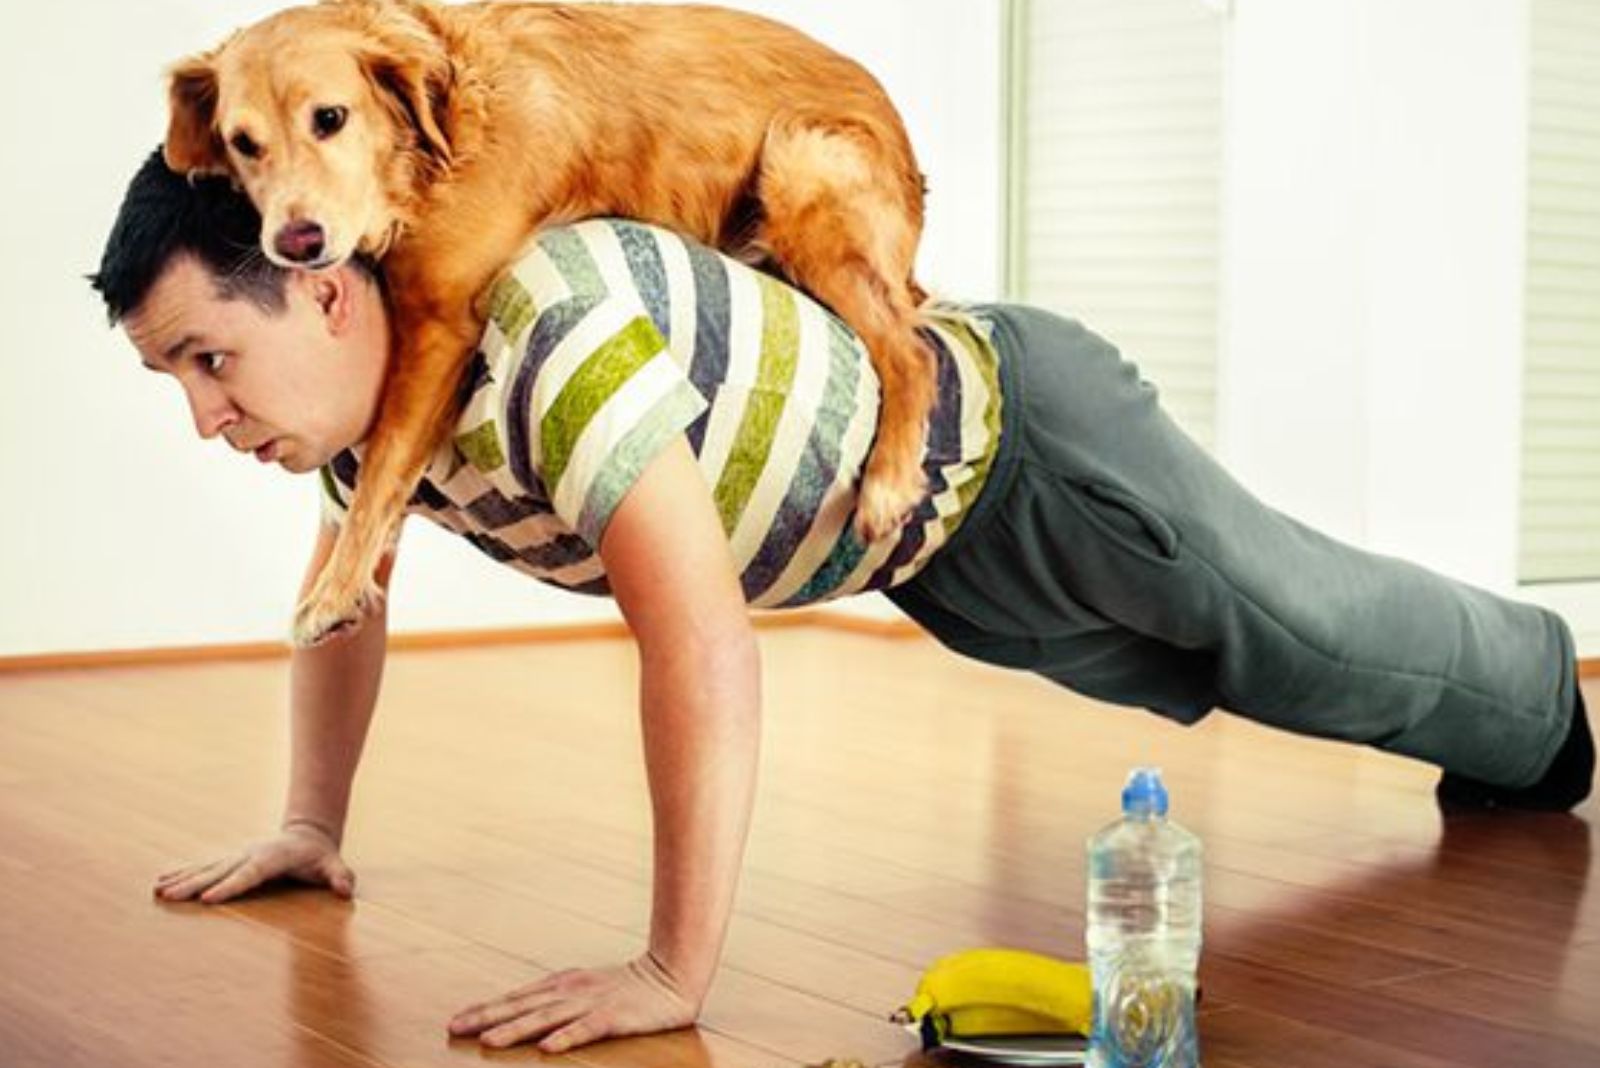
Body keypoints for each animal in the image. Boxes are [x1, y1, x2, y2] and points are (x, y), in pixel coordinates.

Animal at [162, 0, 934, 642]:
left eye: (329, 118)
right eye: (242, 142)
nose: (296, 241)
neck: (438, 137)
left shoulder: (440, 323)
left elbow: (381, 467)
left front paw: (333, 593)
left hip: (799, 166)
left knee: (911, 350)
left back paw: (890, 482)